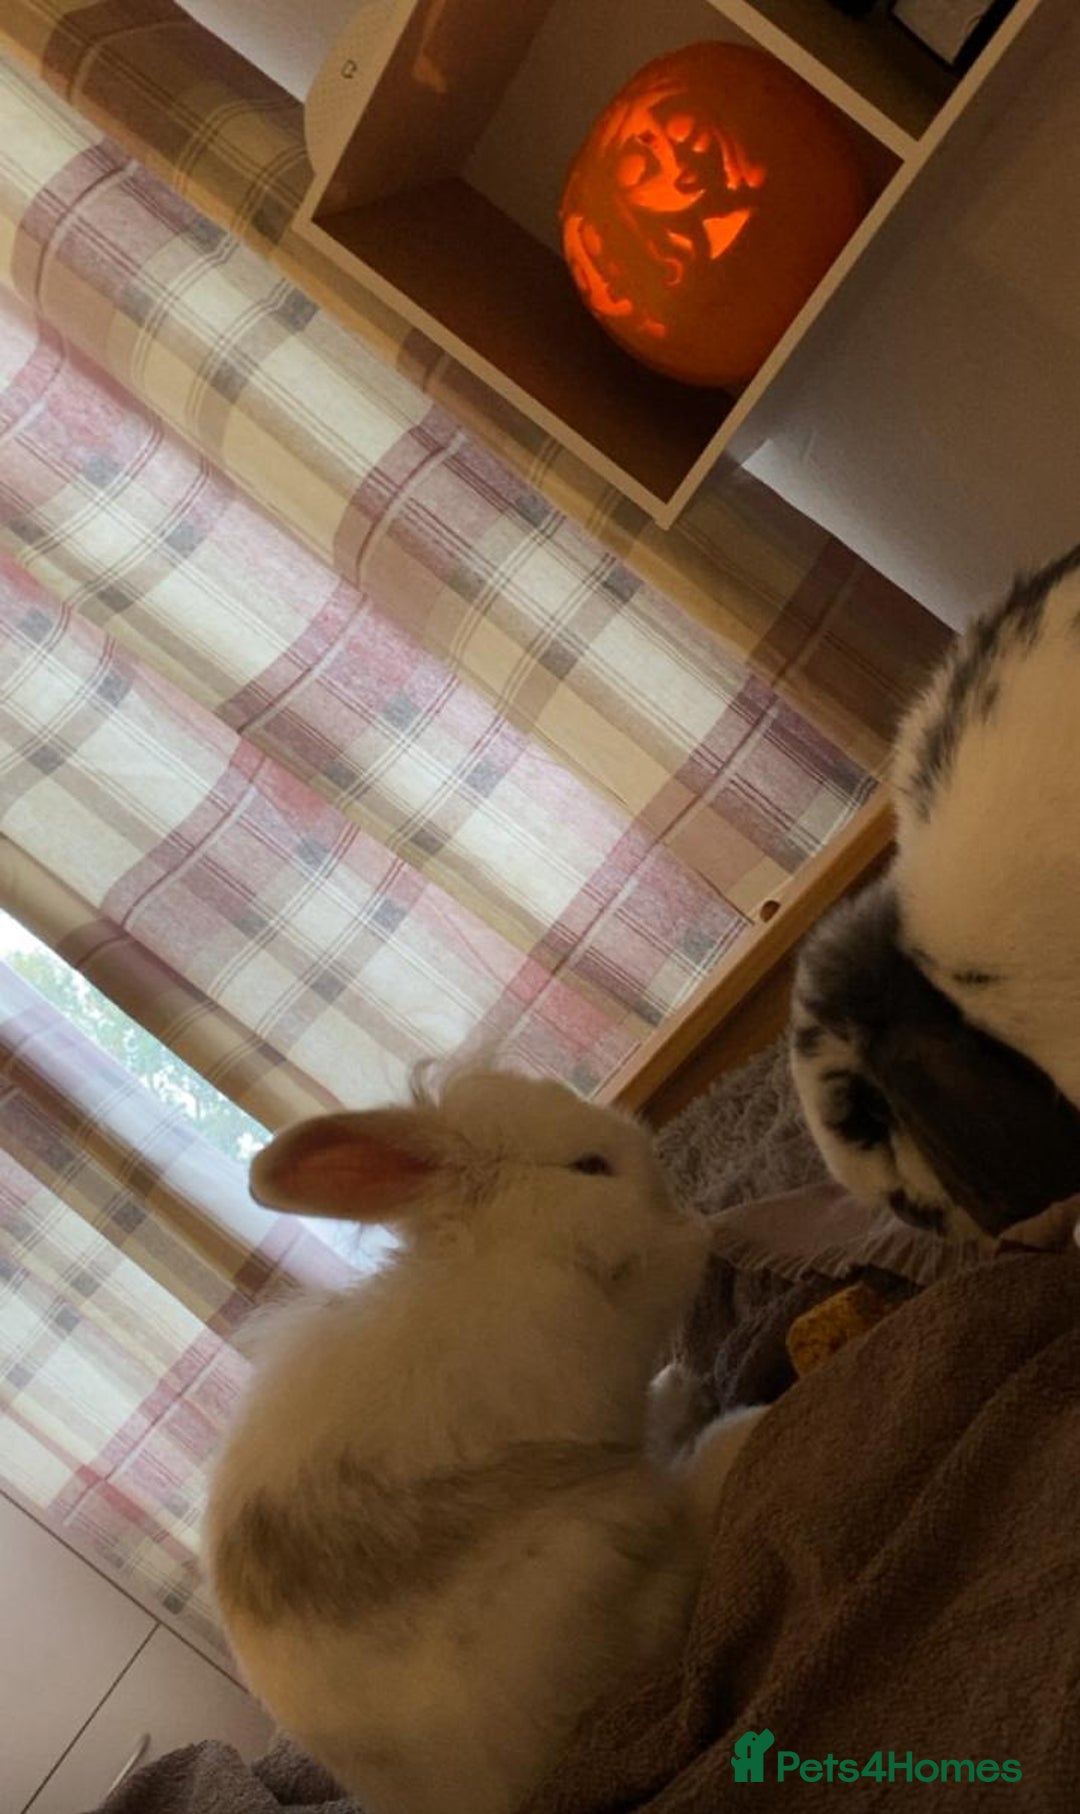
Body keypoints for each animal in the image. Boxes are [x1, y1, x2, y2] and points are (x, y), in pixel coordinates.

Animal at [205, 1065, 764, 1814]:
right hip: (608, 1540)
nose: (652, 1165)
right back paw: (734, 1427)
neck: (511, 1245)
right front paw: (707, 1230)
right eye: (590, 1166)